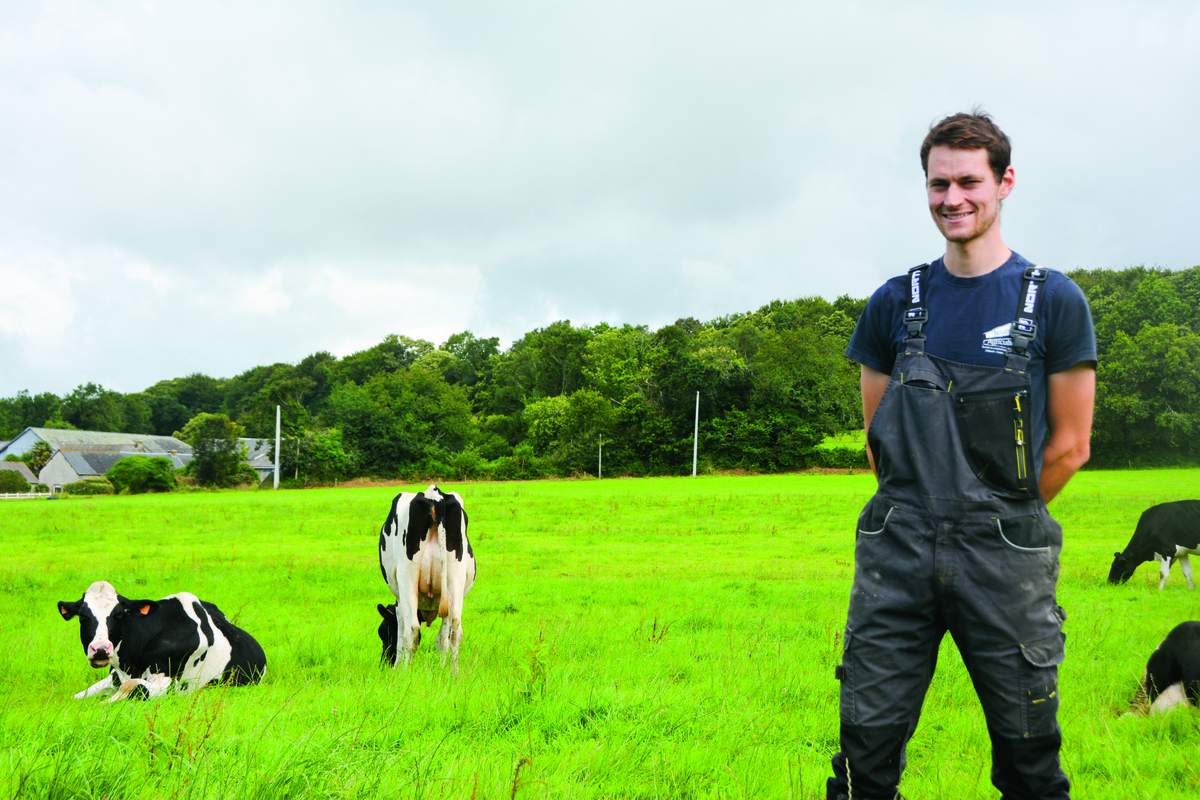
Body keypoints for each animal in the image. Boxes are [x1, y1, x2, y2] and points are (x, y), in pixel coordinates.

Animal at [56, 582, 267, 700]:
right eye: (83, 617)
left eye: (118, 614)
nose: (100, 649)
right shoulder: (114, 676)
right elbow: (77, 697)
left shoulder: (171, 683)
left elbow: (131, 686)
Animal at [381, 484, 480, 671]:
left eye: (382, 633)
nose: (384, 664)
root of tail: (434, 495)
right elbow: (443, 638)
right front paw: (442, 667)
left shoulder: (399, 601)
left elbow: (401, 634)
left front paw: (398, 667)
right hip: (455, 578)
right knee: (455, 628)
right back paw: (453, 673)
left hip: (408, 577)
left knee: (412, 629)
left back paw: (406, 671)